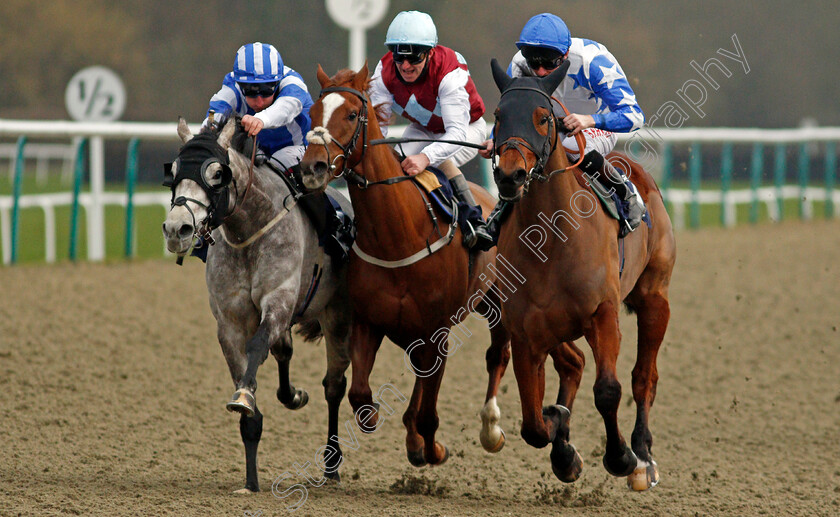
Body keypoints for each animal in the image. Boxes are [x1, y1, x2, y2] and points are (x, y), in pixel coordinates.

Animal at [162, 117, 352, 492]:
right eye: (173, 171)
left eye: (216, 173)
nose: (178, 229)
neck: (250, 229)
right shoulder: (230, 323)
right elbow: (248, 383)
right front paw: (250, 482)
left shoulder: (277, 301)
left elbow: (258, 345)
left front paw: (244, 398)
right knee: (284, 353)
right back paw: (293, 395)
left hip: (336, 316)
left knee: (335, 386)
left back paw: (332, 466)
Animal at [300, 63, 512, 464]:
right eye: (313, 113)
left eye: (351, 114)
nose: (312, 168)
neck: (398, 236)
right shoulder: (368, 322)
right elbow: (360, 396)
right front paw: (385, 424)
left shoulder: (439, 328)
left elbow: (429, 406)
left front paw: (433, 448)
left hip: (498, 300)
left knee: (498, 354)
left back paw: (491, 429)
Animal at [488, 58, 680, 490]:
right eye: (498, 115)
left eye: (543, 117)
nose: (510, 175)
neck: (553, 240)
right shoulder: (526, 332)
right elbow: (532, 421)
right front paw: (563, 443)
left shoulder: (602, 314)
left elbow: (608, 390)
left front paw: (621, 457)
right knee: (573, 367)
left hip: (654, 297)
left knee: (644, 377)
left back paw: (643, 456)